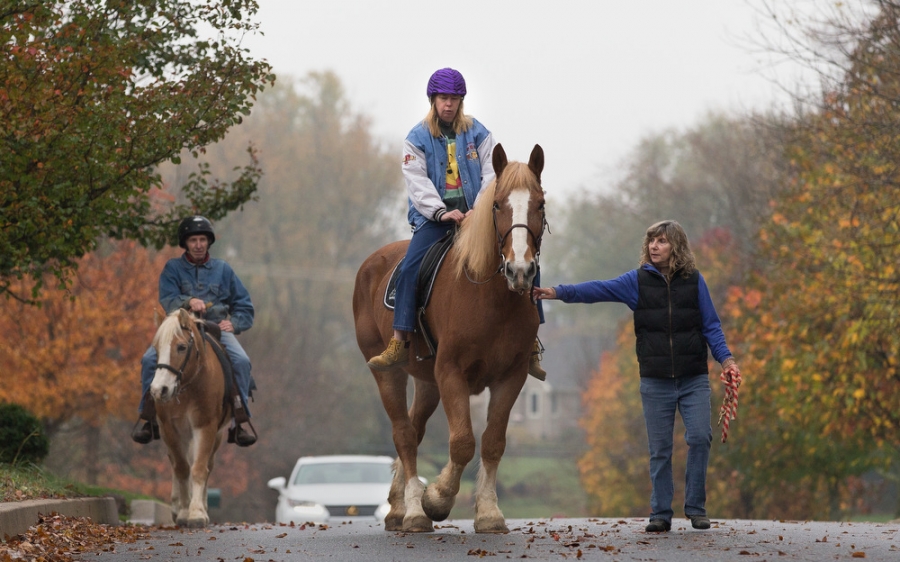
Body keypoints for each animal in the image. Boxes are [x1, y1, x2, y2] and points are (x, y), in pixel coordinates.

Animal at [146, 306, 227, 524]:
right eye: (156, 348)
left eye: (181, 347)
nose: (158, 390)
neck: (189, 387)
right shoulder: (169, 428)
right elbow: (181, 467)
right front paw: (183, 511)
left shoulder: (205, 426)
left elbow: (199, 468)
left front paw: (197, 512)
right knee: (174, 462)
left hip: (216, 435)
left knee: (208, 465)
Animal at [356, 142, 544, 532]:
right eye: (497, 204)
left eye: (540, 204)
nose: (520, 270)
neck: (492, 298)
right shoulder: (451, 373)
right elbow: (462, 442)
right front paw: (437, 499)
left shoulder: (511, 376)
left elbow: (492, 442)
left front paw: (488, 513)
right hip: (388, 374)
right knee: (404, 434)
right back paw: (414, 512)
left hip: (427, 381)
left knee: (413, 430)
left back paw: (398, 506)